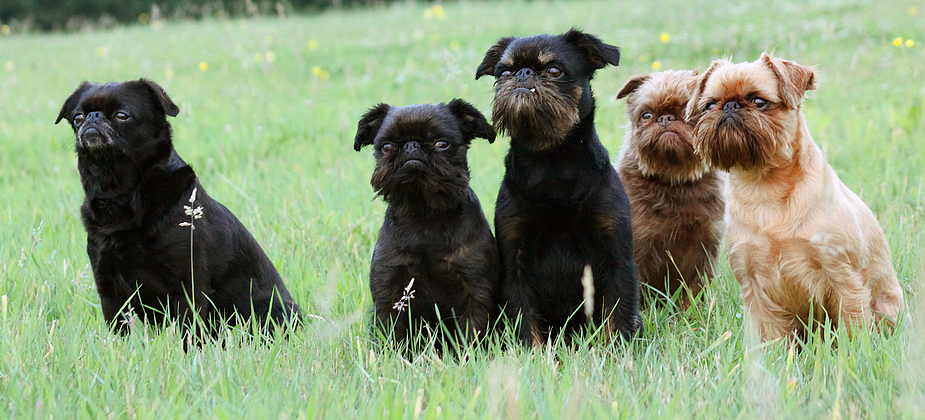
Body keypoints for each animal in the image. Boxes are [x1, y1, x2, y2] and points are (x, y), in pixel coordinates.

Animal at [56, 79, 300, 338]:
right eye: (78, 118)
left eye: (122, 116)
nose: (93, 116)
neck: (118, 192)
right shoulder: (109, 288)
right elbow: (119, 332)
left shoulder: (187, 286)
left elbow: (189, 333)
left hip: (271, 310)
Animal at [352, 98, 498, 352]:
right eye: (386, 146)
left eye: (442, 144)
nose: (411, 146)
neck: (424, 214)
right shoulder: (389, 293)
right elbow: (391, 336)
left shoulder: (475, 291)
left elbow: (471, 334)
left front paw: (468, 357)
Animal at [476, 28, 644, 344]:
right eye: (504, 72)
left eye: (555, 70)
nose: (523, 73)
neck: (550, 161)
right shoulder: (515, 262)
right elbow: (525, 320)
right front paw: (532, 353)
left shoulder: (616, 257)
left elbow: (618, 316)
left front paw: (618, 351)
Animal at [616, 69, 724, 308]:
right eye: (646, 115)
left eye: (686, 111)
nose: (665, 118)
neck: (675, 181)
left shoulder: (704, 252)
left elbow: (694, 294)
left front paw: (692, 315)